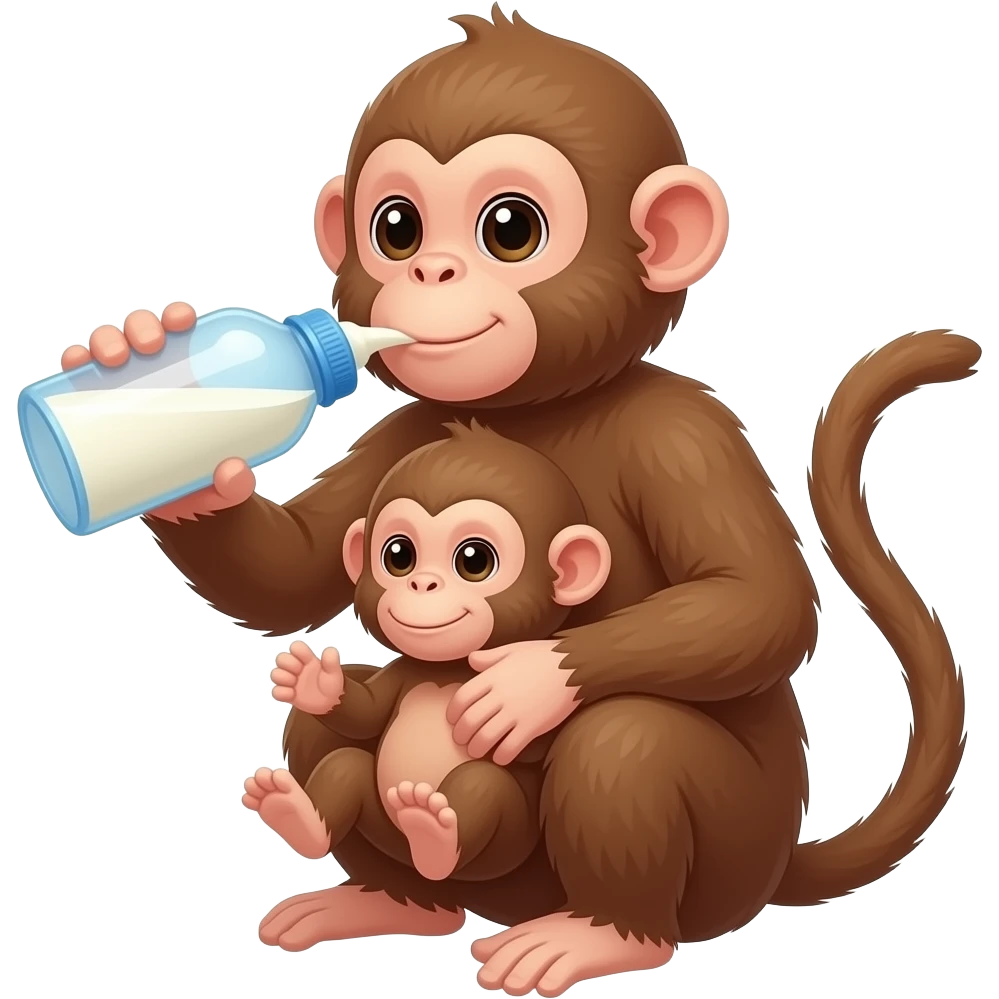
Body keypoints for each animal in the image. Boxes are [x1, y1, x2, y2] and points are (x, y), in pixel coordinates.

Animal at [242, 421, 612, 884]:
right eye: (398, 555)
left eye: (474, 560)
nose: (422, 584)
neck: (446, 669)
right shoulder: (406, 672)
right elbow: (367, 714)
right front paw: (316, 683)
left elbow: (532, 742)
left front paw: (522, 694)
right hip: (382, 823)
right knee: (346, 765)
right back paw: (299, 817)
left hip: (504, 844)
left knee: (481, 784)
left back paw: (435, 834)